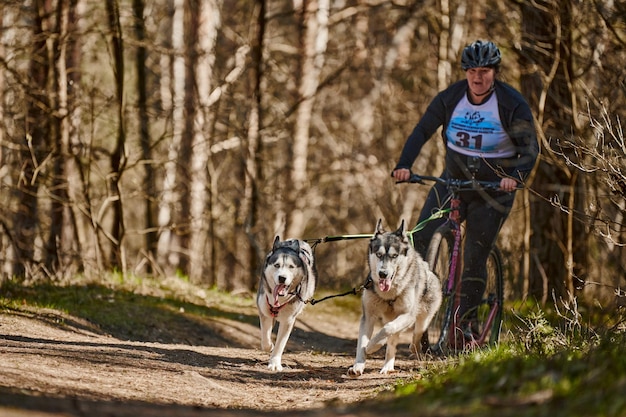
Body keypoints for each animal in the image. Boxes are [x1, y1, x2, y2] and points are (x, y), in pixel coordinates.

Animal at [254, 237, 314, 370]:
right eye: (277, 265)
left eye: (291, 266)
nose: (282, 277)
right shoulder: (264, 311)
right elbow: (265, 339)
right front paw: (270, 346)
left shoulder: (288, 320)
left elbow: (280, 343)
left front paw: (274, 363)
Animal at [344, 219, 442, 376]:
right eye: (378, 254)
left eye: (394, 256)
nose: (383, 274)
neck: (389, 294)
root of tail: (428, 269)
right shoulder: (368, 316)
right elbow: (362, 343)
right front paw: (358, 366)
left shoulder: (407, 315)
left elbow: (387, 329)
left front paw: (372, 346)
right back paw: (388, 366)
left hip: (422, 320)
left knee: (413, 337)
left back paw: (410, 351)